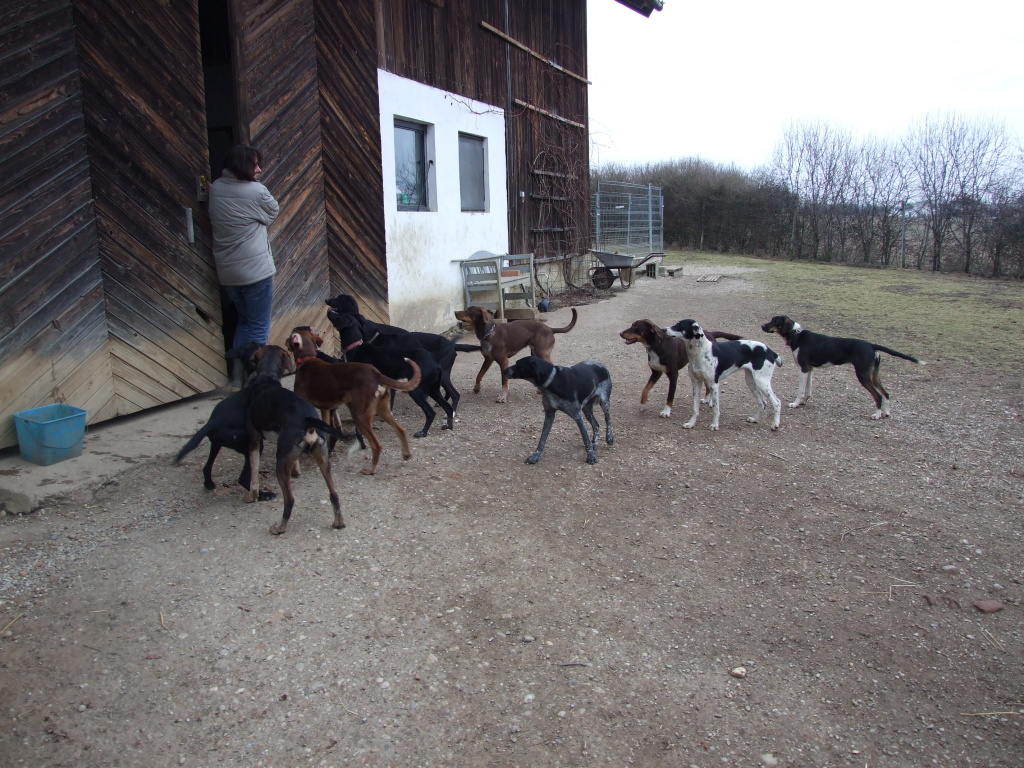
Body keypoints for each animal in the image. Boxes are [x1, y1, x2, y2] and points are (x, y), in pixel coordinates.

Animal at [175, 343, 296, 497]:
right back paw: (263, 494)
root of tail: (213, 421)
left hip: (216, 444)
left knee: (207, 468)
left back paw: (209, 484)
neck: (266, 375)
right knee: (243, 478)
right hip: (251, 442)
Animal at [242, 374, 355, 535]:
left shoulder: (255, 441)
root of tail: (307, 419)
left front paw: (252, 496)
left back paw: (280, 528)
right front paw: (296, 471)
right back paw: (339, 522)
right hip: (323, 460)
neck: (266, 382)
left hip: (281, 464)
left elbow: (253, 474)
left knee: (289, 499)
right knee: (334, 494)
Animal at [287, 328, 420, 475]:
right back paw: (406, 454)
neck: (307, 360)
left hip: (360, 416)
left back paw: (371, 469)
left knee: (377, 445)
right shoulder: (326, 409)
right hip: (383, 410)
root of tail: (376, 374)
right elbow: (326, 433)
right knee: (401, 430)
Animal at [760, 315, 925, 419]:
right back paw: (886, 412)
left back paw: (877, 415)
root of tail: (871, 345)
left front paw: (795, 403)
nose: (762, 326)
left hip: (863, 375)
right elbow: (808, 389)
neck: (797, 335)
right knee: (886, 393)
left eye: (774, 321)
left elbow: (800, 390)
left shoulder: (803, 369)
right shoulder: (810, 369)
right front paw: (803, 402)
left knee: (878, 395)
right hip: (874, 375)